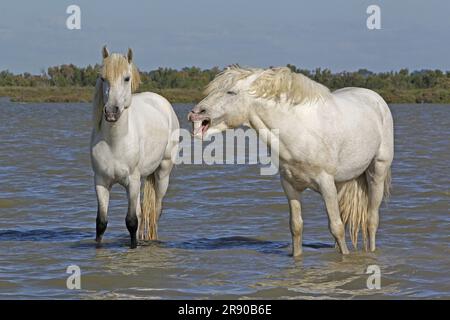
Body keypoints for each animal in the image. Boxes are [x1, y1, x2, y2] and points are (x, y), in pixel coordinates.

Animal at [89, 47, 179, 248]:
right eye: (102, 78)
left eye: (126, 78)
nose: (111, 112)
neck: (115, 142)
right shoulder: (101, 182)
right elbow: (101, 223)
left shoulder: (132, 181)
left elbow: (131, 221)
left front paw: (133, 247)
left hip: (162, 173)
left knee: (156, 211)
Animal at [188, 66, 392, 256]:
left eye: (231, 92)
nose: (195, 114)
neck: (299, 131)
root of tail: (375, 98)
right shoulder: (289, 185)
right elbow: (296, 227)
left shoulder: (326, 183)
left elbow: (336, 227)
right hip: (341, 182)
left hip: (377, 171)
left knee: (371, 220)